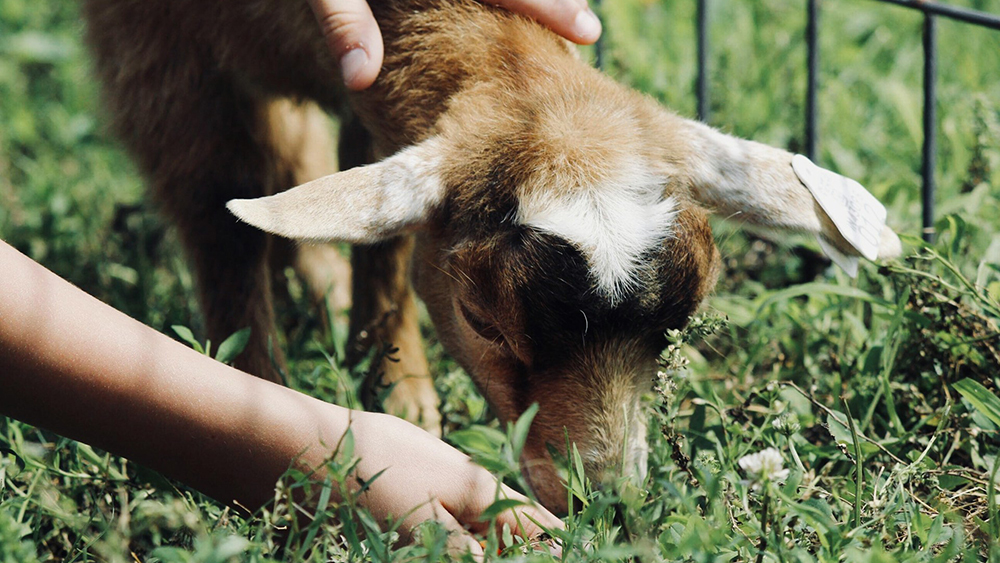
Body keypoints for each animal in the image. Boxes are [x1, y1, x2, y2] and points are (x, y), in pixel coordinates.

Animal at [84, 0, 900, 512]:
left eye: (678, 326)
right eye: (482, 319)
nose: (607, 505)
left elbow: (383, 236)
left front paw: (395, 387)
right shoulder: (154, 46)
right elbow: (215, 214)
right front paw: (261, 390)